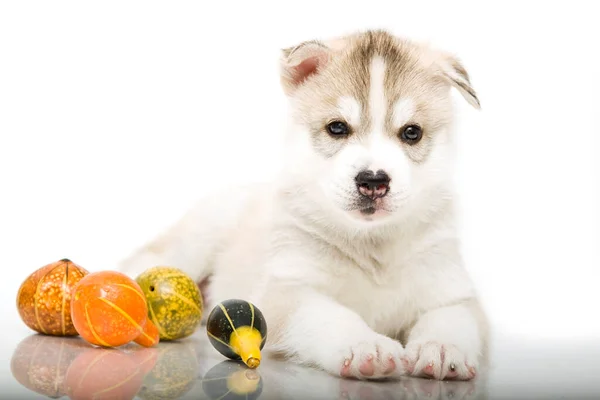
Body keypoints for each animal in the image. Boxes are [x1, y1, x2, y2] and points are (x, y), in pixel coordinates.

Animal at [120, 30, 488, 382]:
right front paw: (364, 344)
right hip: (194, 242)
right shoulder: (288, 291)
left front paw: (442, 348)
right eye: (337, 127)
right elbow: (331, 315)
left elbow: (451, 318)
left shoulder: (454, 291)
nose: (373, 181)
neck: (373, 246)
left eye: (412, 133)